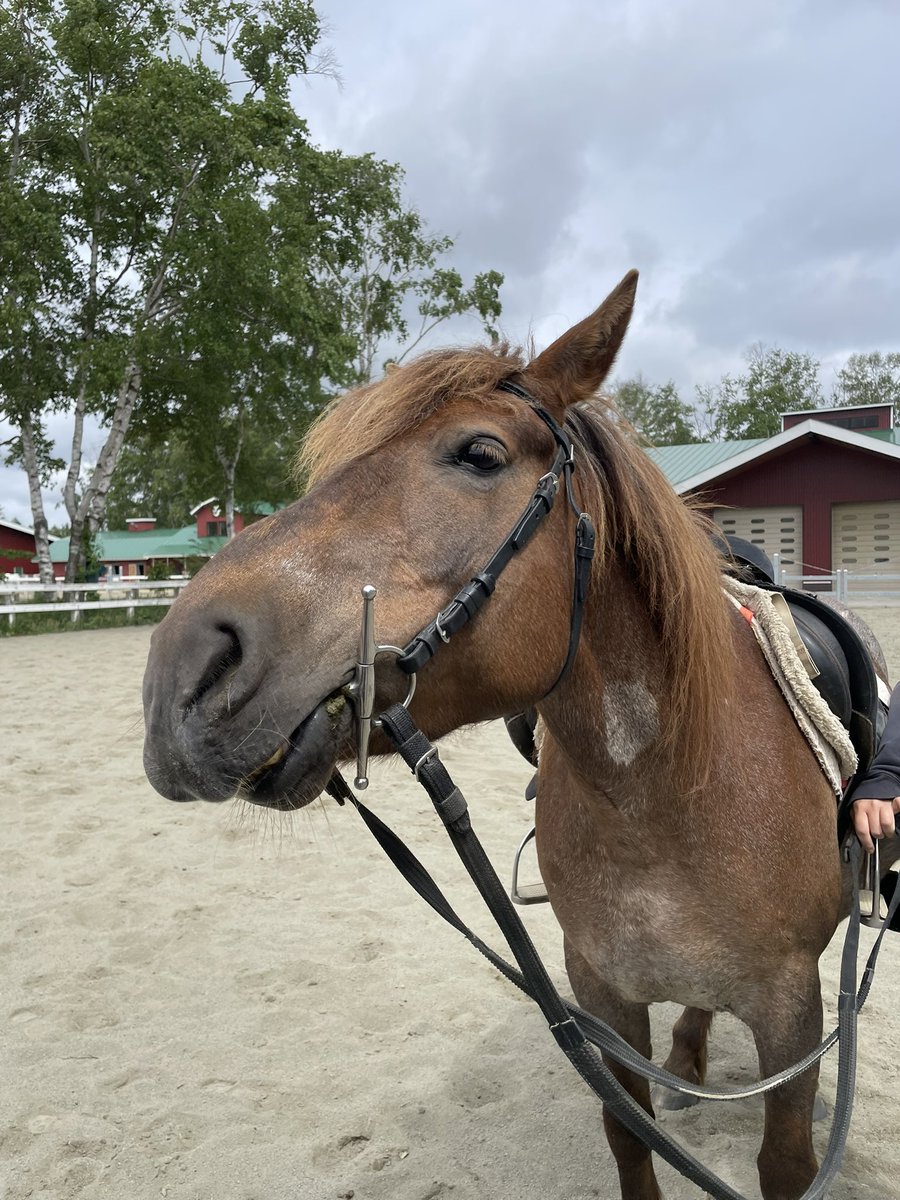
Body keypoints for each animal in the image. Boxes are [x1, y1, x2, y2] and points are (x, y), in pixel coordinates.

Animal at [142, 270, 894, 1200]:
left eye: (479, 454)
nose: (181, 675)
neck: (674, 800)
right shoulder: (602, 993)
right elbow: (630, 1135)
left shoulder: (791, 1015)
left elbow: (783, 1162)